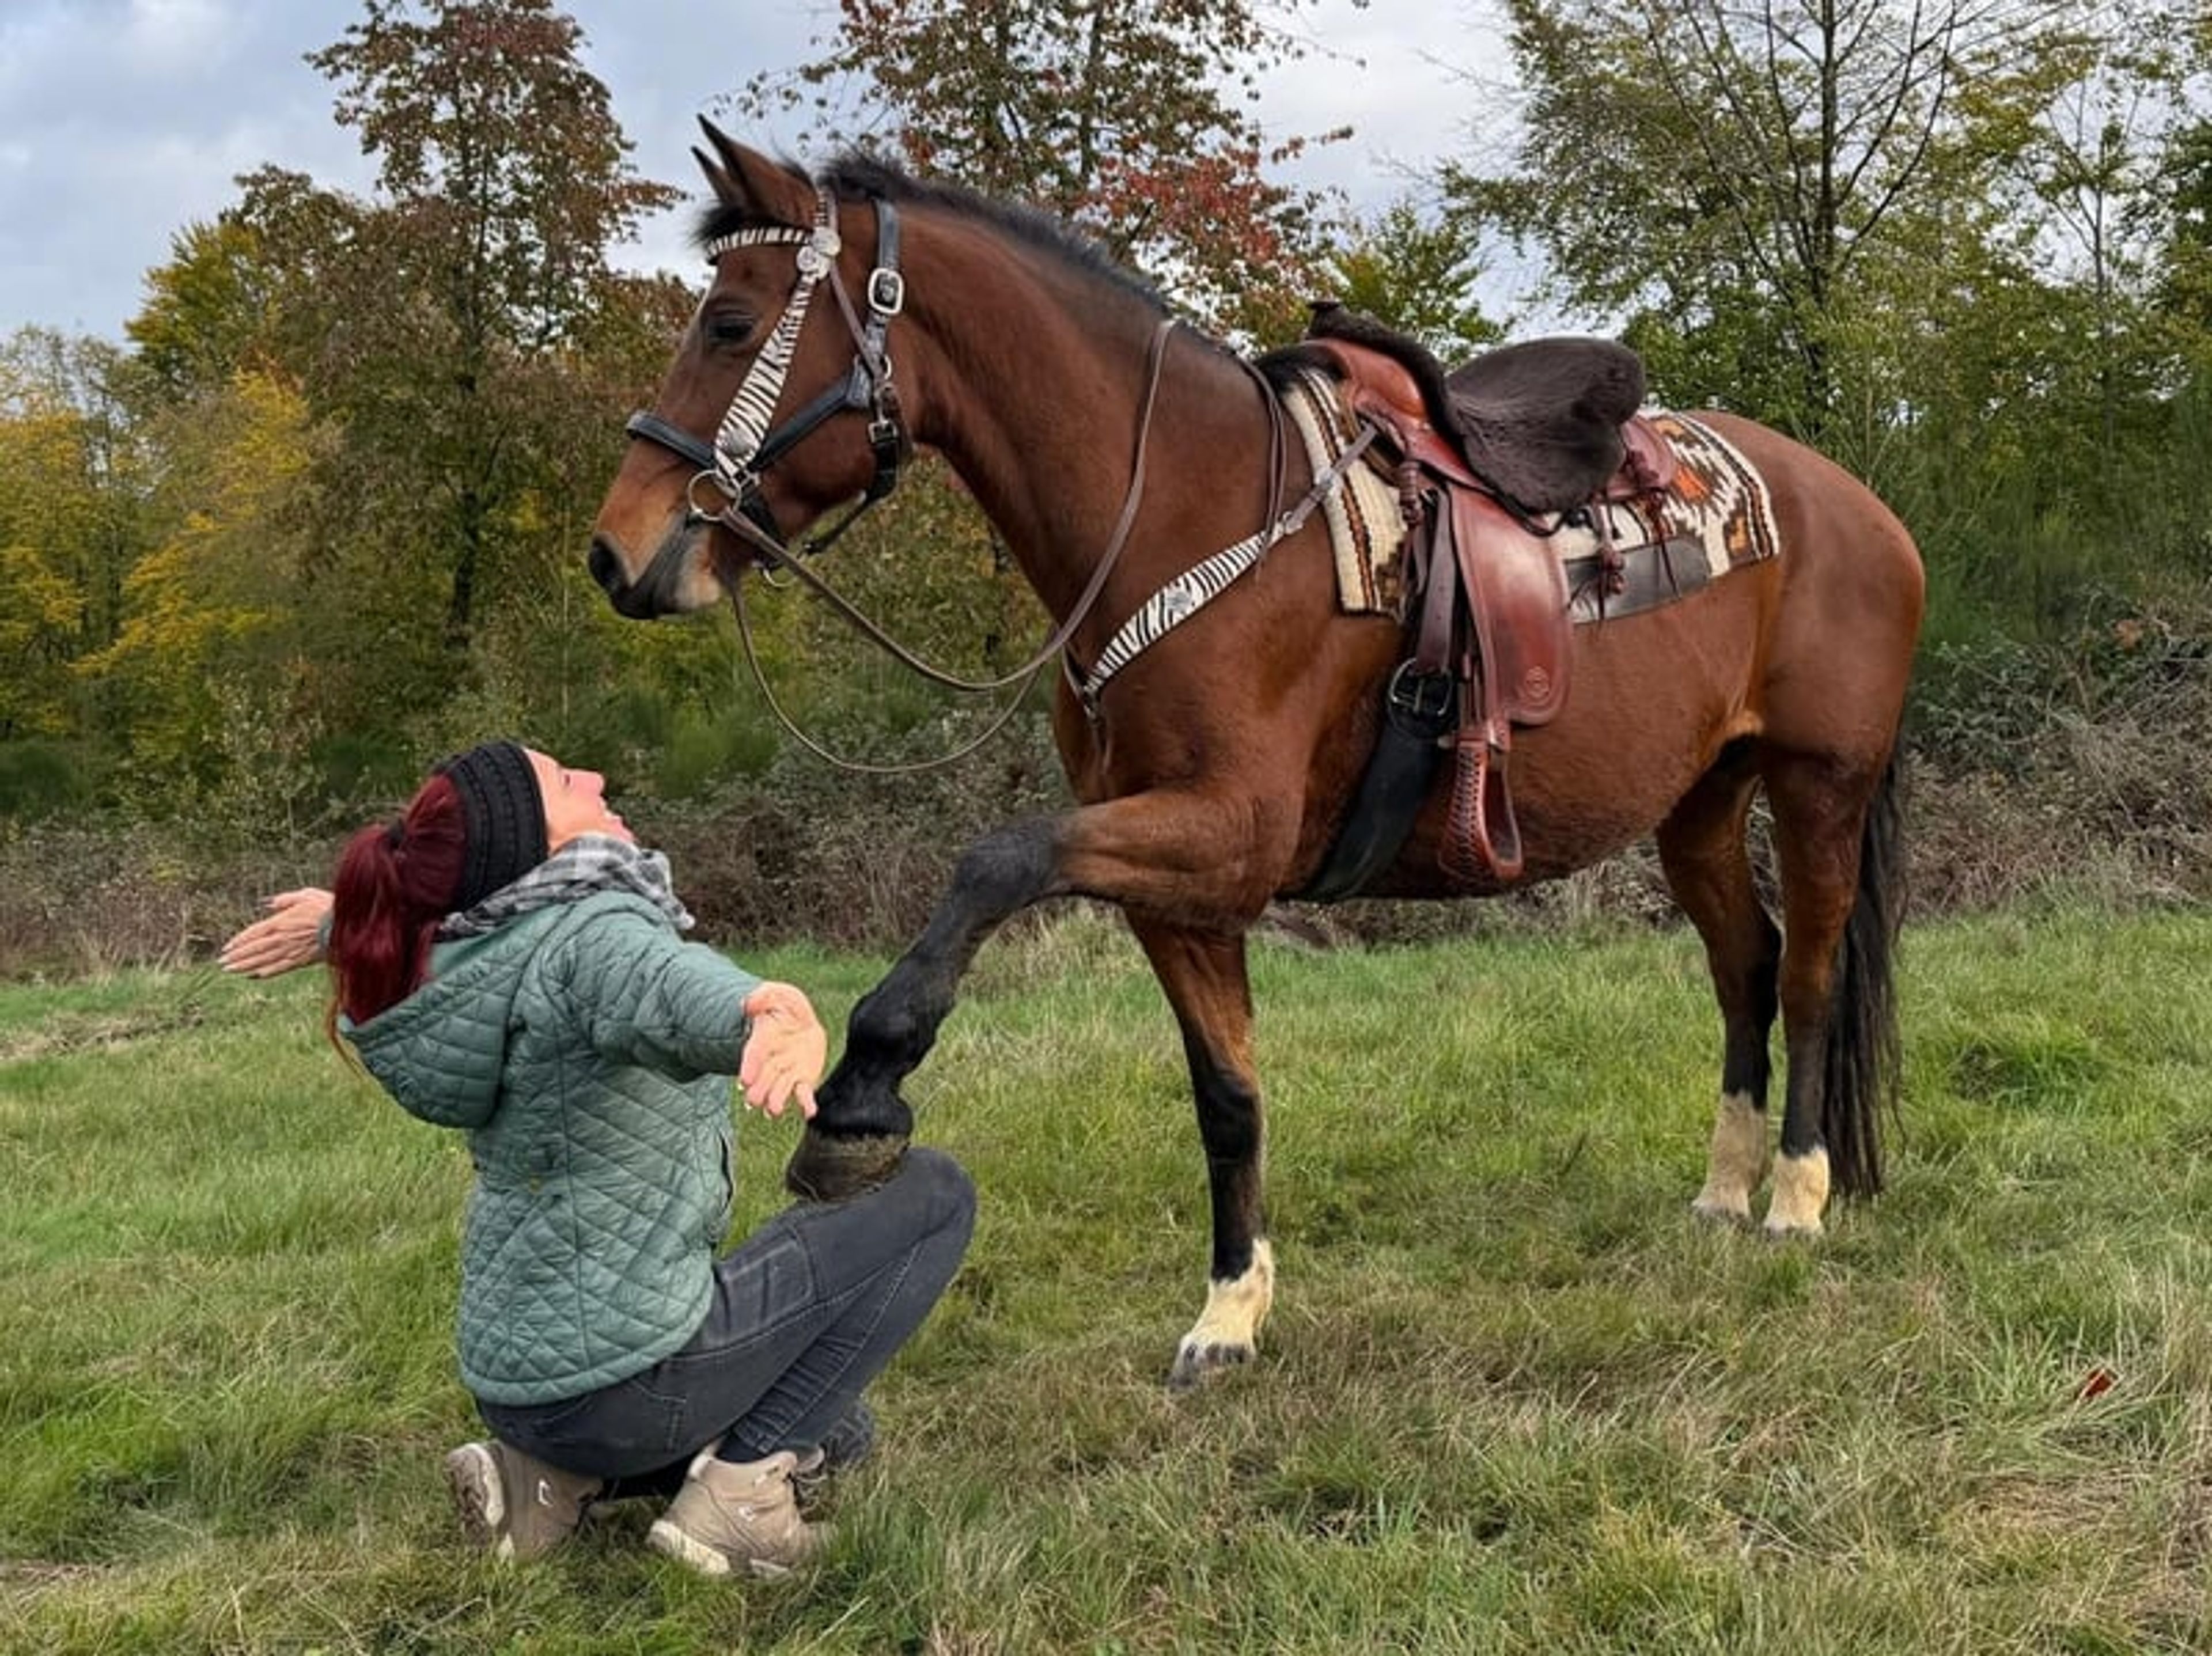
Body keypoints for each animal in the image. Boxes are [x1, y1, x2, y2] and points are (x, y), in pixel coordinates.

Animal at [588, 124, 1925, 1388]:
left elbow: (994, 862)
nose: (617, 550)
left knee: (1809, 975)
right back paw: (1724, 1192)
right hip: (1699, 805)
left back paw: (1796, 1199)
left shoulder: (1225, 830)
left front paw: (861, 1096)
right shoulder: (1182, 886)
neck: (1193, 512)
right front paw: (1231, 1314)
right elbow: (1227, 1097)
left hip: (1820, 786)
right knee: (1746, 968)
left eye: (729, 321)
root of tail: (1864, 509)